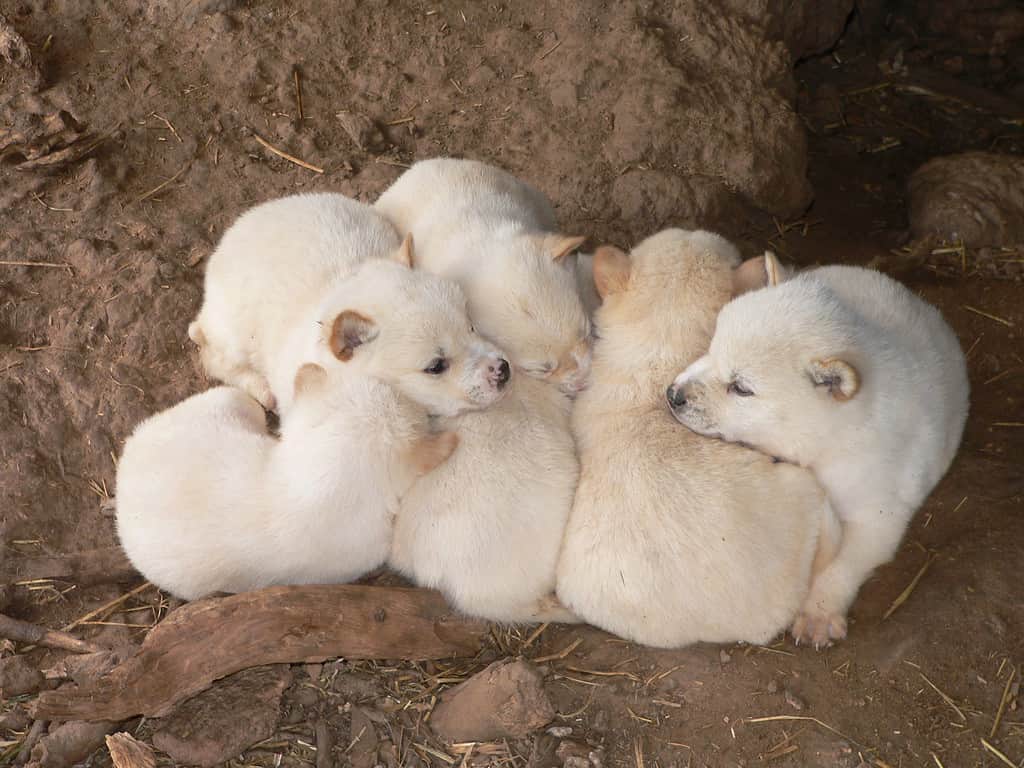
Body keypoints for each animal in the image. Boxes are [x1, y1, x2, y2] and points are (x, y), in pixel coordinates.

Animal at [187, 192, 507, 421]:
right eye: (436, 367)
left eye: (471, 326)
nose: (504, 369)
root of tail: (233, 234)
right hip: (233, 332)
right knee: (211, 354)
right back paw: (261, 389)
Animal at [667, 268, 970, 647]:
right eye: (711, 346)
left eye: (740, 388)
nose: (673, 394)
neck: (831, 440)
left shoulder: (880, 510)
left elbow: (846, 562)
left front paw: (818, 614)